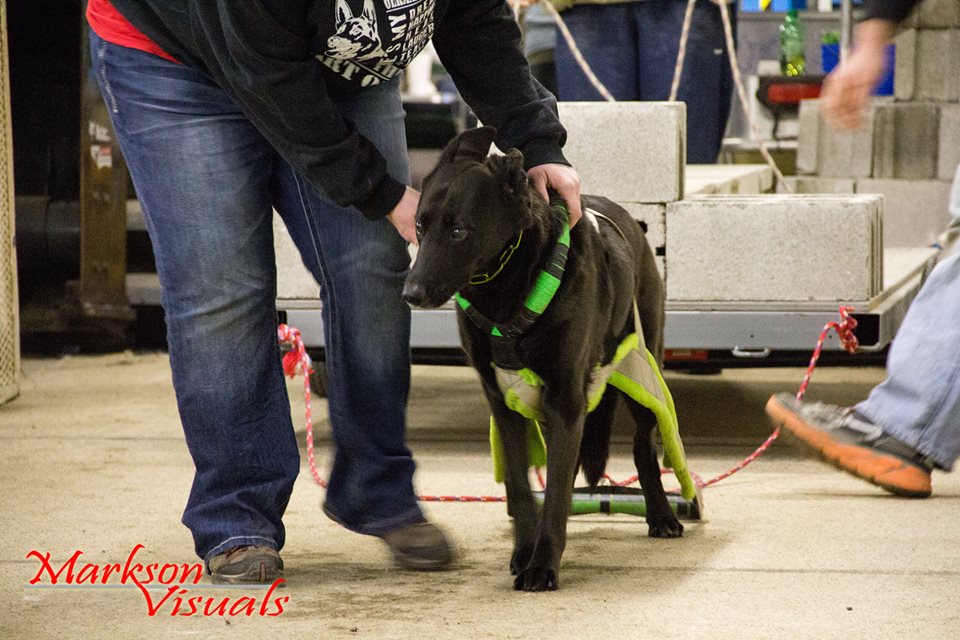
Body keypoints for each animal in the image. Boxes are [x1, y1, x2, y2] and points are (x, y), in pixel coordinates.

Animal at [404, 127, 684, 592]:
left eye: (458, 230)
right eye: (420, 226)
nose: (411, 294)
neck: (505, 285)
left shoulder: (565, 401)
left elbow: (554, 492)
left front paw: (542, 566)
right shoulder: (502, 404)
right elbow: (523, 486)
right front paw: (524, 552)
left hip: (643, 367)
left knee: (644, 447)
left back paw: (661, 514)